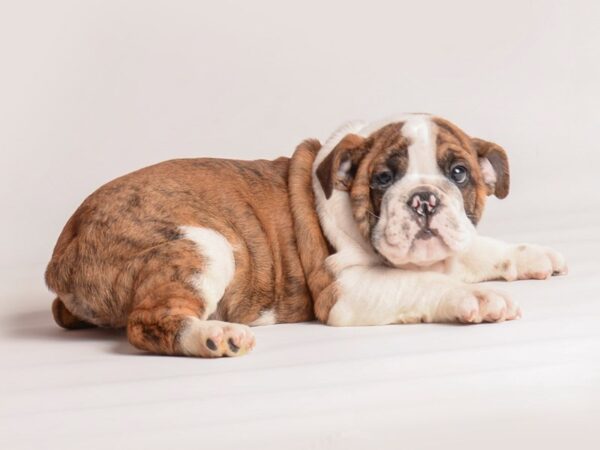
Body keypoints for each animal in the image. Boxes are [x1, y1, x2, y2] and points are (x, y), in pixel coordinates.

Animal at [45, 113, 568, 358]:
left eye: (458, 173)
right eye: (383, 179)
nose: (423, 198)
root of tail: (66, 246)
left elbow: (477, 250)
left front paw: (532, 255)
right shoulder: (347, 291)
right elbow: (429, 283)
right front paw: (477, 299)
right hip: (205, 246)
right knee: (149, 322)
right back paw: (214, 336)